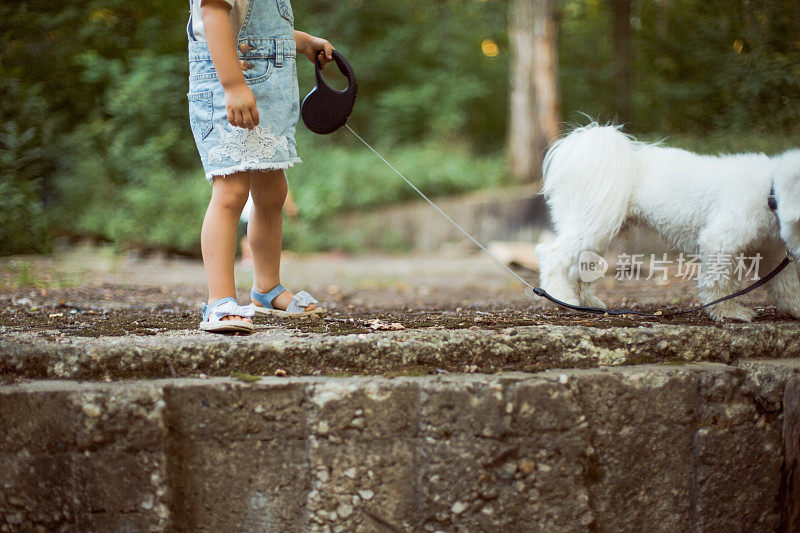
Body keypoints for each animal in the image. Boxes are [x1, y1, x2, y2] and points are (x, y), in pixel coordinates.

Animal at [536, 122, 800, 320]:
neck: (769, 191)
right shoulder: (719, 242)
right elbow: (719, 283)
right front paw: (729, 312)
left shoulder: (770, 251)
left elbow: (786, 282)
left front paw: (796, 308)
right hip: (590, 224)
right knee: (553, 254)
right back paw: (562, 296)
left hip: (600, 227)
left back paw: (584, 302)